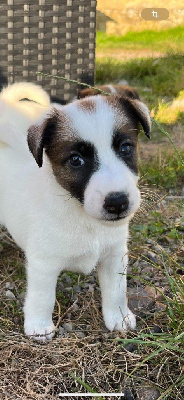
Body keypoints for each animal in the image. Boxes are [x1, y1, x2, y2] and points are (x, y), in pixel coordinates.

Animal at [0, 82, 150, 340]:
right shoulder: (43, 263)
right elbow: (42, 296)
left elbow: (116, 290)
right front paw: (39, 326)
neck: (83, 217)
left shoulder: (114, 255)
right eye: (76, 160)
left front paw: (118, 317)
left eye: (125, 148)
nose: (117, 202)